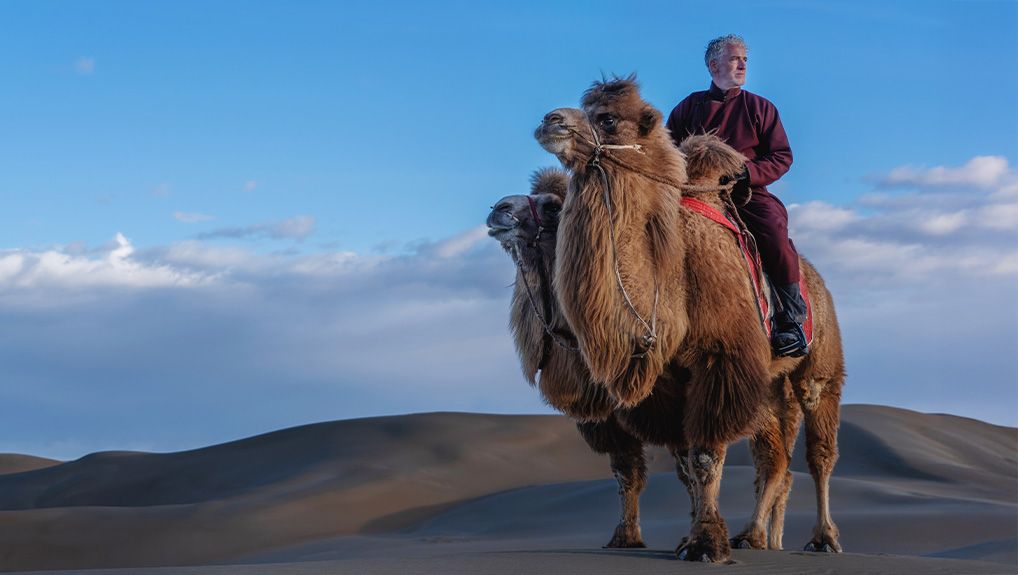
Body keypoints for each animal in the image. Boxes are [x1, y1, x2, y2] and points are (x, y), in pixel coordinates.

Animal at [534, 78, 845, 562]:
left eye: (608, 117)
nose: (551, 120)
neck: (673, 280)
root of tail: (818, 283)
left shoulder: (721, 359)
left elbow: (705, 456)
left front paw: (705, 543)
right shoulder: (667, 379)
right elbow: (684, 461)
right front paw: (694, 536)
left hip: (819, 370)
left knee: (820, 454)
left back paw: (823, 538)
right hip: (771, 383)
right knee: (774, 459)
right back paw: (757, 536)